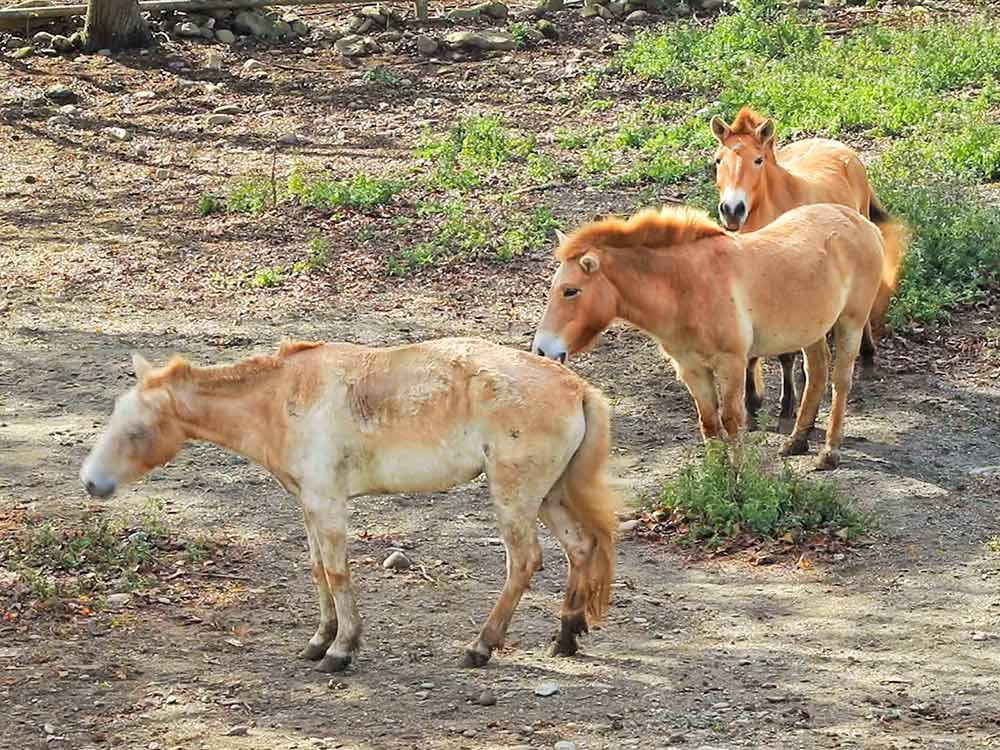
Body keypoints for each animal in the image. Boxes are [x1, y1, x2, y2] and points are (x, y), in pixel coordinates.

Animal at [532, 200, 892, 470]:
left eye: (571, 291)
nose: (542, 350)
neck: (686, 285)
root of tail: (861, 222)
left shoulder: (731, 363)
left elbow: (732, 421)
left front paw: (740, 478)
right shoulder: (691, 368)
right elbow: (709, 423)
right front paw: (716, 477)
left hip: (850, 324)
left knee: (840, 381)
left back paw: (829, 453)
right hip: (812, 330)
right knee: (816, 373)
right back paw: (796, 441)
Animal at [712, 106, 908, 424]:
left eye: (758, 159)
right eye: (718, 160)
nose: (732, 210)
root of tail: (838, 146)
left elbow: (786, 354)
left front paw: (787, 404)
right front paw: (753, 401)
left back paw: (866, 355)